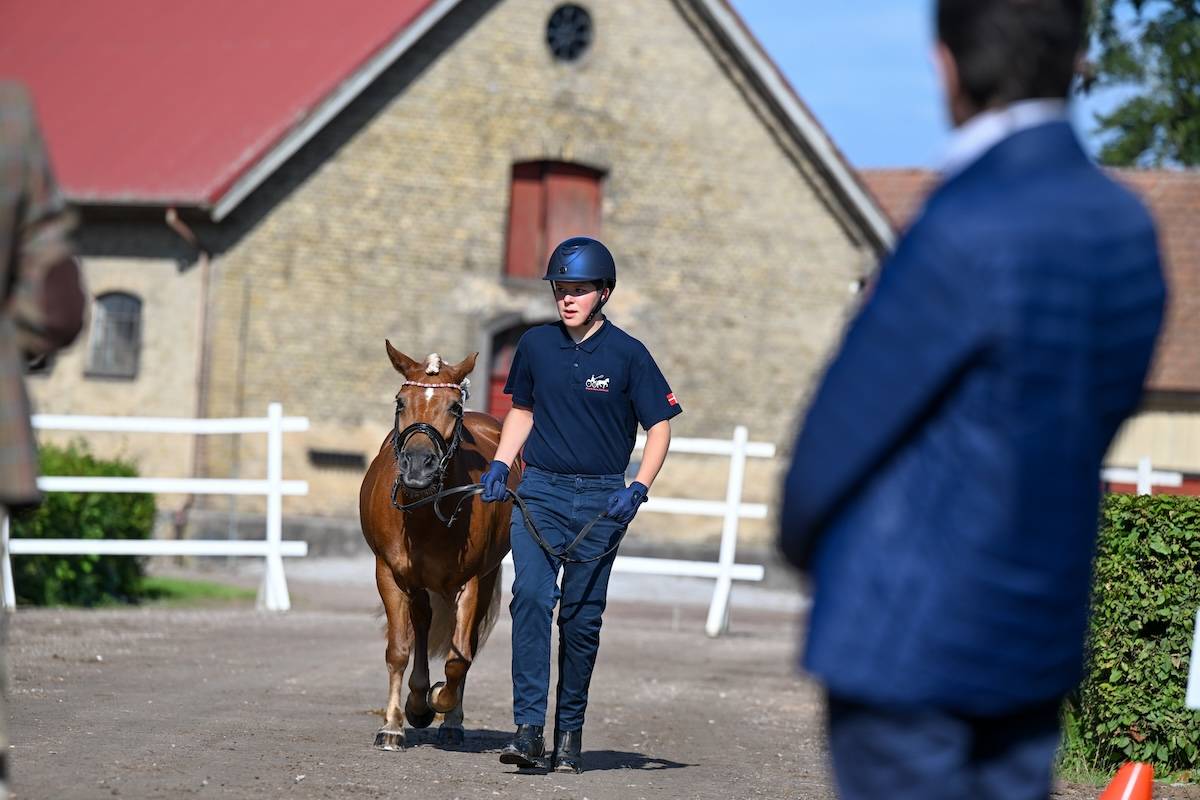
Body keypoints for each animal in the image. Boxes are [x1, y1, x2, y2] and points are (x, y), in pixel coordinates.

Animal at [359, 342, 519, 750]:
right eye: (401, 402)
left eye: (454, 408)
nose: (418, 466)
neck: (425, 512)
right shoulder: (391, 575)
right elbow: (399, 649)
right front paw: (394, 724)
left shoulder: (472, 581)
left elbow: (458, 658)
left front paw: (439, 703)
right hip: (418, 586)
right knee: (421, 624)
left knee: (464, 645)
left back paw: (447, 717)